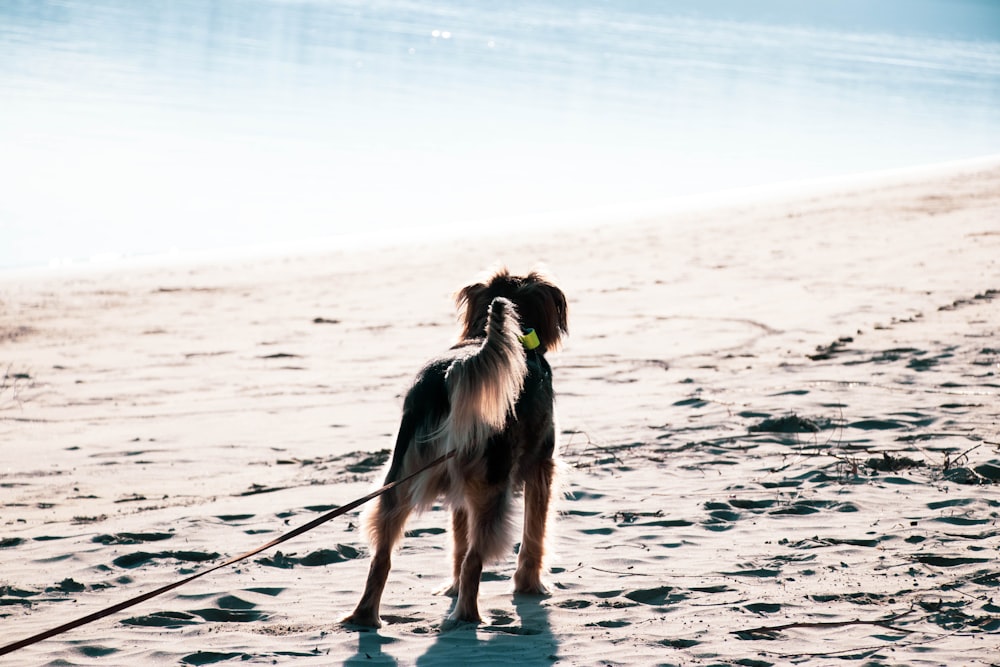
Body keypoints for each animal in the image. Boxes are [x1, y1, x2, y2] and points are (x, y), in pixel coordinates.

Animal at [344, 266, 568, 628]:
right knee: (475, 559)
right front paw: (530, 585)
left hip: (399, 478)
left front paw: (452, 587)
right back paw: (468, 616)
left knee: (382, 556)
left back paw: (365, 617)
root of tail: (453, 373)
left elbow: (458, 540)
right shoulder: (541, 467)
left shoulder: (460, 489)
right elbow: (535, 532)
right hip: (493, 486)